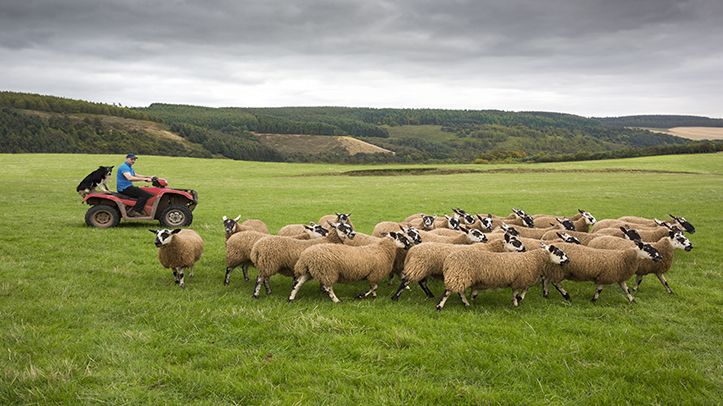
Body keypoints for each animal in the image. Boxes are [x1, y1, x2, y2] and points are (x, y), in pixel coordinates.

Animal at [435, 242, 570, 310]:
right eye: (559, 253)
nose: (568, 261)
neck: (534, 259)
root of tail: (448, 260)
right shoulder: (519, 280)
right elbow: (516, 292)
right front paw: (516, 303)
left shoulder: (521, 279)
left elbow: (525, 289)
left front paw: (519, 299)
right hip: (459, 274)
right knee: (448, 292)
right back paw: (439, 306)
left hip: (461, 276)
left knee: (460, 291)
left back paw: (466, 303)